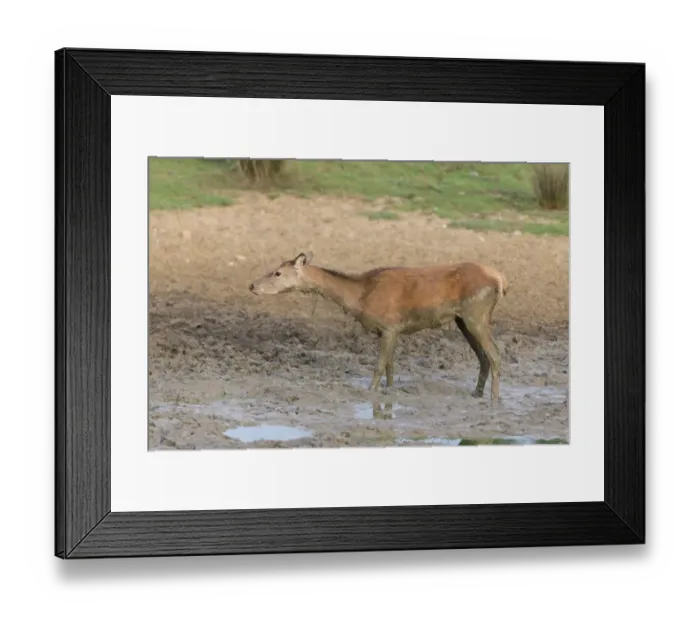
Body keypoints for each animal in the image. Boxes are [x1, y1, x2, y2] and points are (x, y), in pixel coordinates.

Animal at [248, 252, 508, 402]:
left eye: (277, 272)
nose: (252, 285)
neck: (361, 297)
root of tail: (500, 280)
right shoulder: (390, 330)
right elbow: (390, 367)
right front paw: (389, 393)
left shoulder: (390, 325)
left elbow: (379, 365)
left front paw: (369, 392)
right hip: (462, 319)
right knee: (483, 357)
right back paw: (476, 393)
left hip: (476, 313)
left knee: (495, 355)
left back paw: (494, 399)